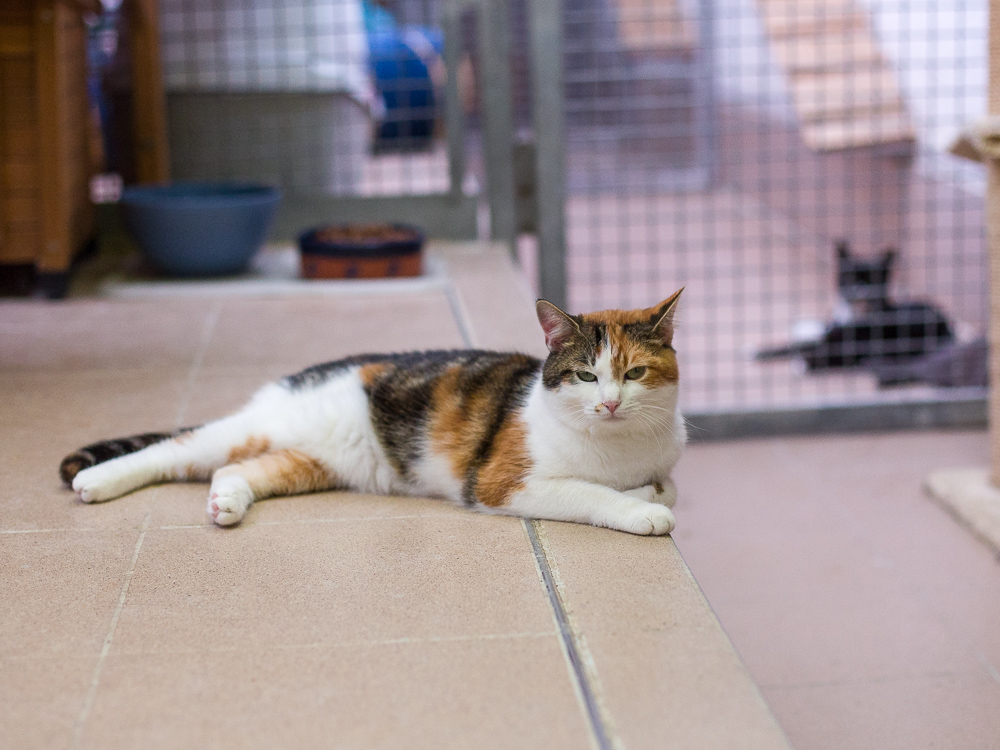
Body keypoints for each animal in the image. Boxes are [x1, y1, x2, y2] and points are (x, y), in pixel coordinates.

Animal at [60, 292, 688, 536]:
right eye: (586, 375)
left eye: (634, 374)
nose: (610, 403)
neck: (617, 448)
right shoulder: (502, 483)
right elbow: (590, 494)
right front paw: (641, 510)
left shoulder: (664, 461)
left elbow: (665, 484)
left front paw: (648, 493)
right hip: (256, 427)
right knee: (176, 449)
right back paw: (96, 480)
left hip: (313, 463)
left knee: (235, 469)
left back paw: (226, 504)